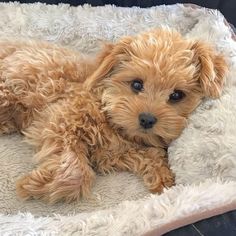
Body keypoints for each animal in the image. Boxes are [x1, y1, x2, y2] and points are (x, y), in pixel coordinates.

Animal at [0, 29, 228, 203]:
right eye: (136, 84)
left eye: (177, 95)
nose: (147, 119)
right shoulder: (61, 118)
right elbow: (78, 171)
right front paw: (37, 185)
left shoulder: (113, 153)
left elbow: (149, 154)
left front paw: (164, 178)